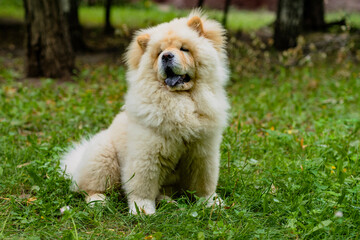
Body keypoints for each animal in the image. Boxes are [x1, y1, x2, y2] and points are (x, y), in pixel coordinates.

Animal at [60, 10, 229, 216]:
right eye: (158, 53)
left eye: (184, 49)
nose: (166, 56)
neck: (180, 100)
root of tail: (77, 166)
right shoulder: (147, 153)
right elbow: (143, 186)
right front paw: (142, 211)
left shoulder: (203, 152)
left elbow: (204, 184)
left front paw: (211, 203)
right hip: (104, 157)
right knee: (91, 188)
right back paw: (98, 201)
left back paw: (169, 203)